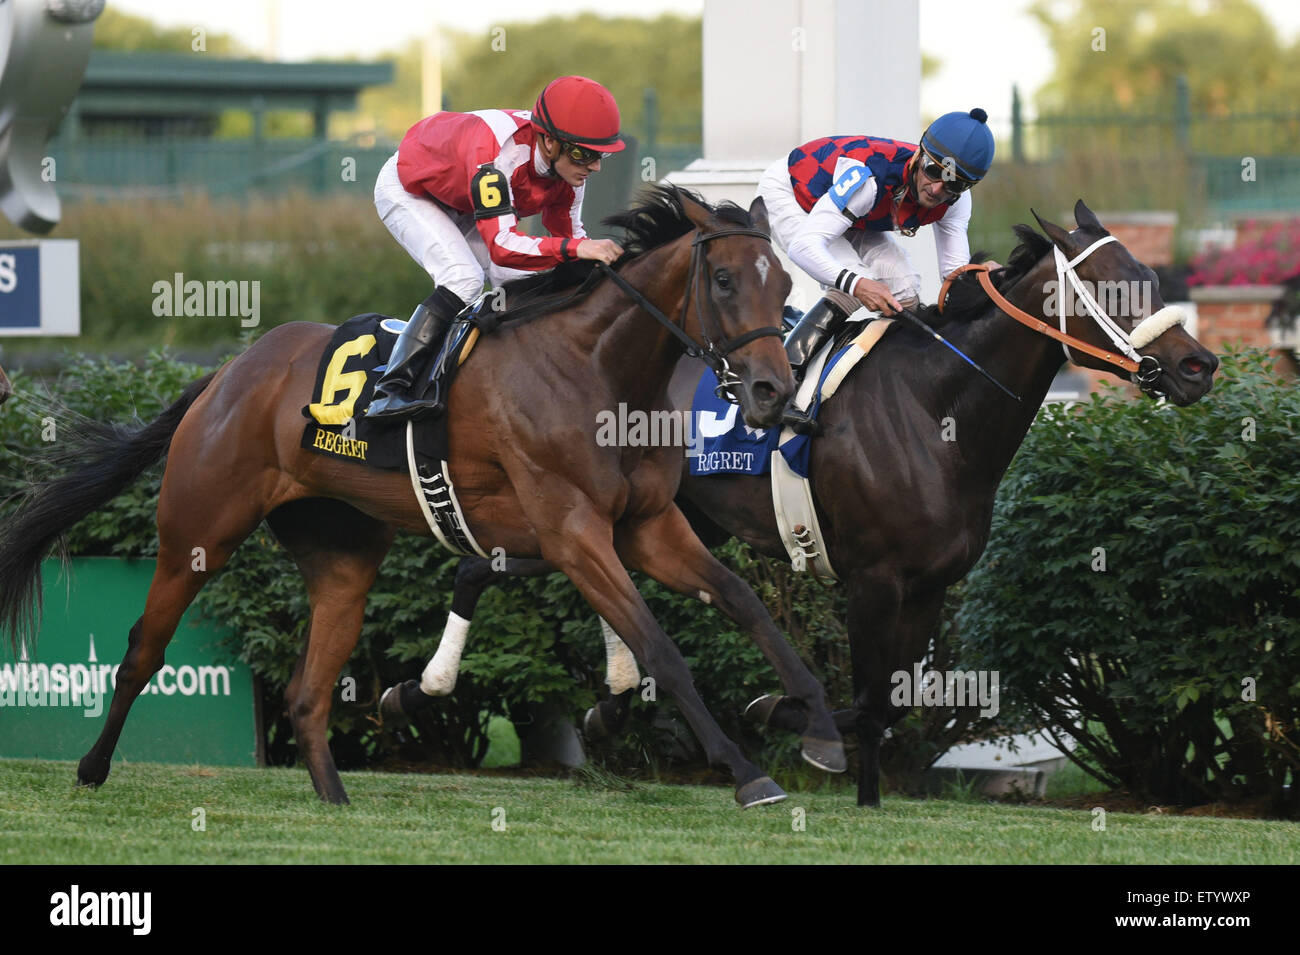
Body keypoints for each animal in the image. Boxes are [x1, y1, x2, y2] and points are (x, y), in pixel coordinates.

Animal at [0, 184, 847, 805]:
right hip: (197, 531)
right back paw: (92, 768)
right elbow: (662, 650)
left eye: (785, 282)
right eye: (725, 279)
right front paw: (749, 773)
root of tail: (226, 374)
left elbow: (744, 601)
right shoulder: (574, 532)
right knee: (142, 650)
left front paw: (820, 727)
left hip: (342, 557)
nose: (773, 391)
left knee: (308, 690)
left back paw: (336, 797)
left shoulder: (645, 524)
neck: (598, 369)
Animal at [382, 201, 1216, 805]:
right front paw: (800, 736)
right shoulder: (875, 578)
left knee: (494, 566)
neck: (935, 409)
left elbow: (894, 700)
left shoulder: (930, 587)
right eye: (1112, 285)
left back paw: (483, 692)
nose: (1199, 365)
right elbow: (873, 699)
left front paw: (794, 729)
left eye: (1149, 274)